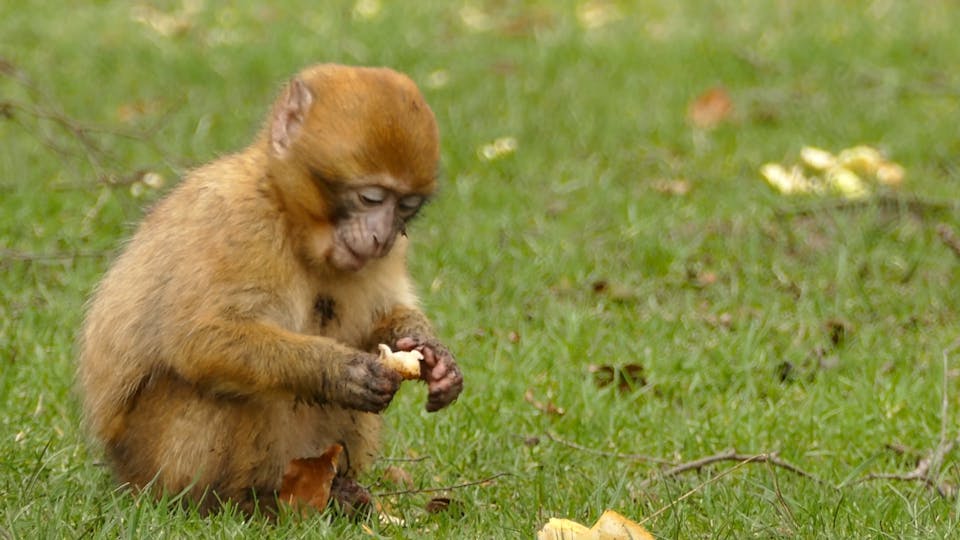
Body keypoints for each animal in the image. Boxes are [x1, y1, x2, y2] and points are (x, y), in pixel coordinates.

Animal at [79, 63, 462, 516]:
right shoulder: (238, 221)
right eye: (370, 197)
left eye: (405, 206)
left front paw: (434, 357)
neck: (290, 219)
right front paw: (338, 370)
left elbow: (383, 318)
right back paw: (236, 503)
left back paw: (337, 492)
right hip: (149, 461)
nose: (381, 236)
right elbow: (198, 339)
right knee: (213, 388)